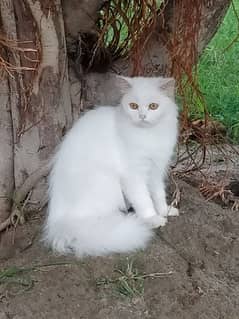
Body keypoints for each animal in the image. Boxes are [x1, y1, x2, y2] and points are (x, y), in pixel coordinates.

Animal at [44, 77, 179, 258]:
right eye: (133, 106)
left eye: (153, 106)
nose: (142, 116)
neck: (148, 136)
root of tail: (59, 222)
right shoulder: (133, 175)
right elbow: (144, 200)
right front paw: (153, 219)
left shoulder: (156, 169)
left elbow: (158, 195)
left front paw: (165, 211)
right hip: (106, 184)